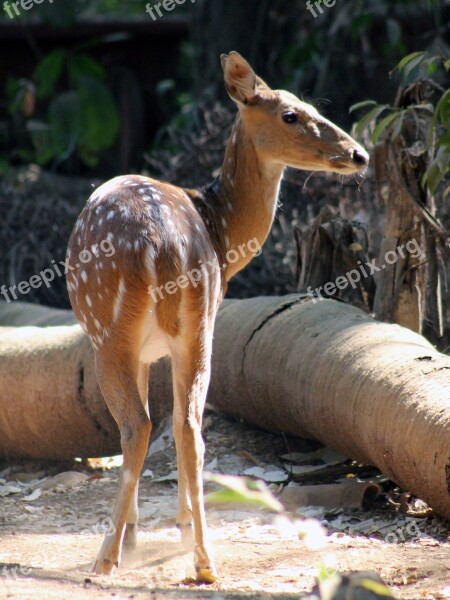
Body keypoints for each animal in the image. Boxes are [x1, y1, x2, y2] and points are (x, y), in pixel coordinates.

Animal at [67, 50, 370, 580]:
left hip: (108, 330)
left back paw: (106, 557)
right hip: (198, 323)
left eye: (314, 108)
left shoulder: (141, 347)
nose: (359, 155)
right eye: (291, 114)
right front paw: (160, 533)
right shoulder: (164, 344)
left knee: (140, 427)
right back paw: (203, 559)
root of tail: (164, 245)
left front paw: (134, 539)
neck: (223, 230)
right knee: (189, 425)